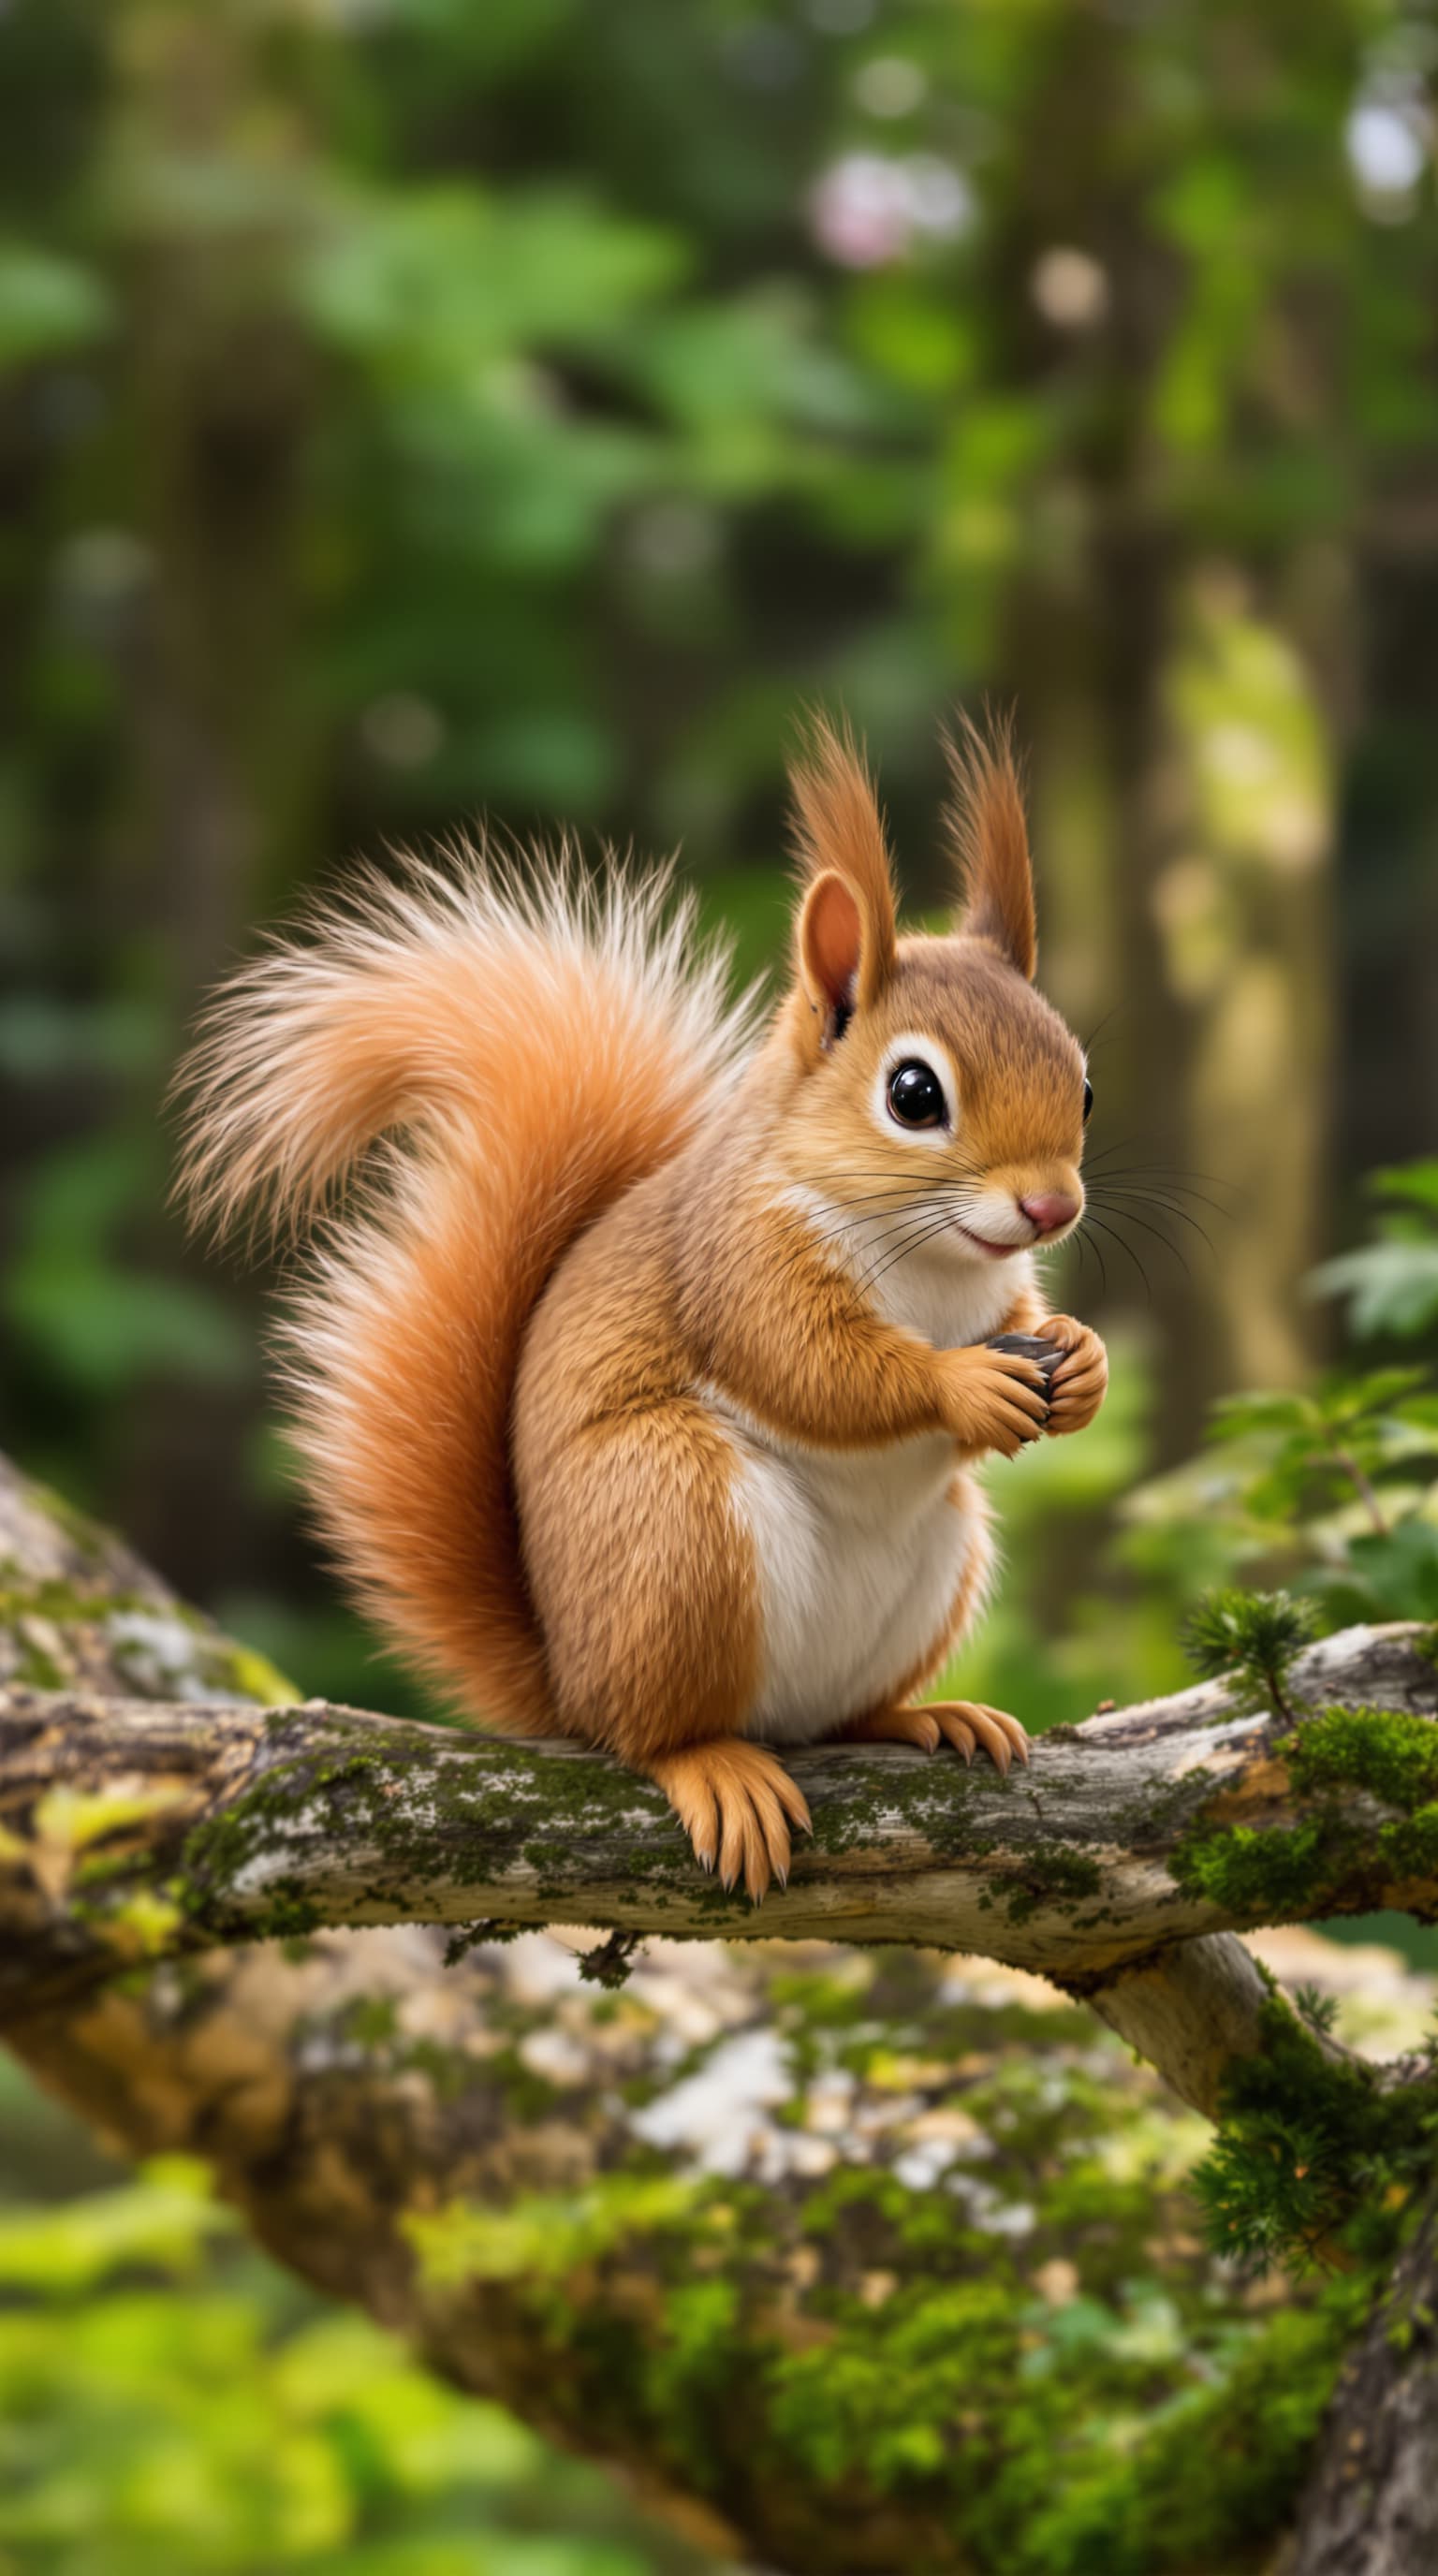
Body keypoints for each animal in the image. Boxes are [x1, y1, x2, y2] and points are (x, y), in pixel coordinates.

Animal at [177, 715, 1107, 1900]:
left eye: (1085, 1083)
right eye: (914, 1094)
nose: (1051, 1205)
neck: (935, 1264)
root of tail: (567, 1683)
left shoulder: (1001, 1286)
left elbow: (1028, 1317)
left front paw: (1081, 1360)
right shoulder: (735, 1263)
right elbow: (813, 1366)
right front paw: (963, 1382)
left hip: (937, 1560)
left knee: (838, 1716)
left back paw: (924, 1716)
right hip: (674, 1523)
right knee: (653, 1733)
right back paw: (714, 1763)